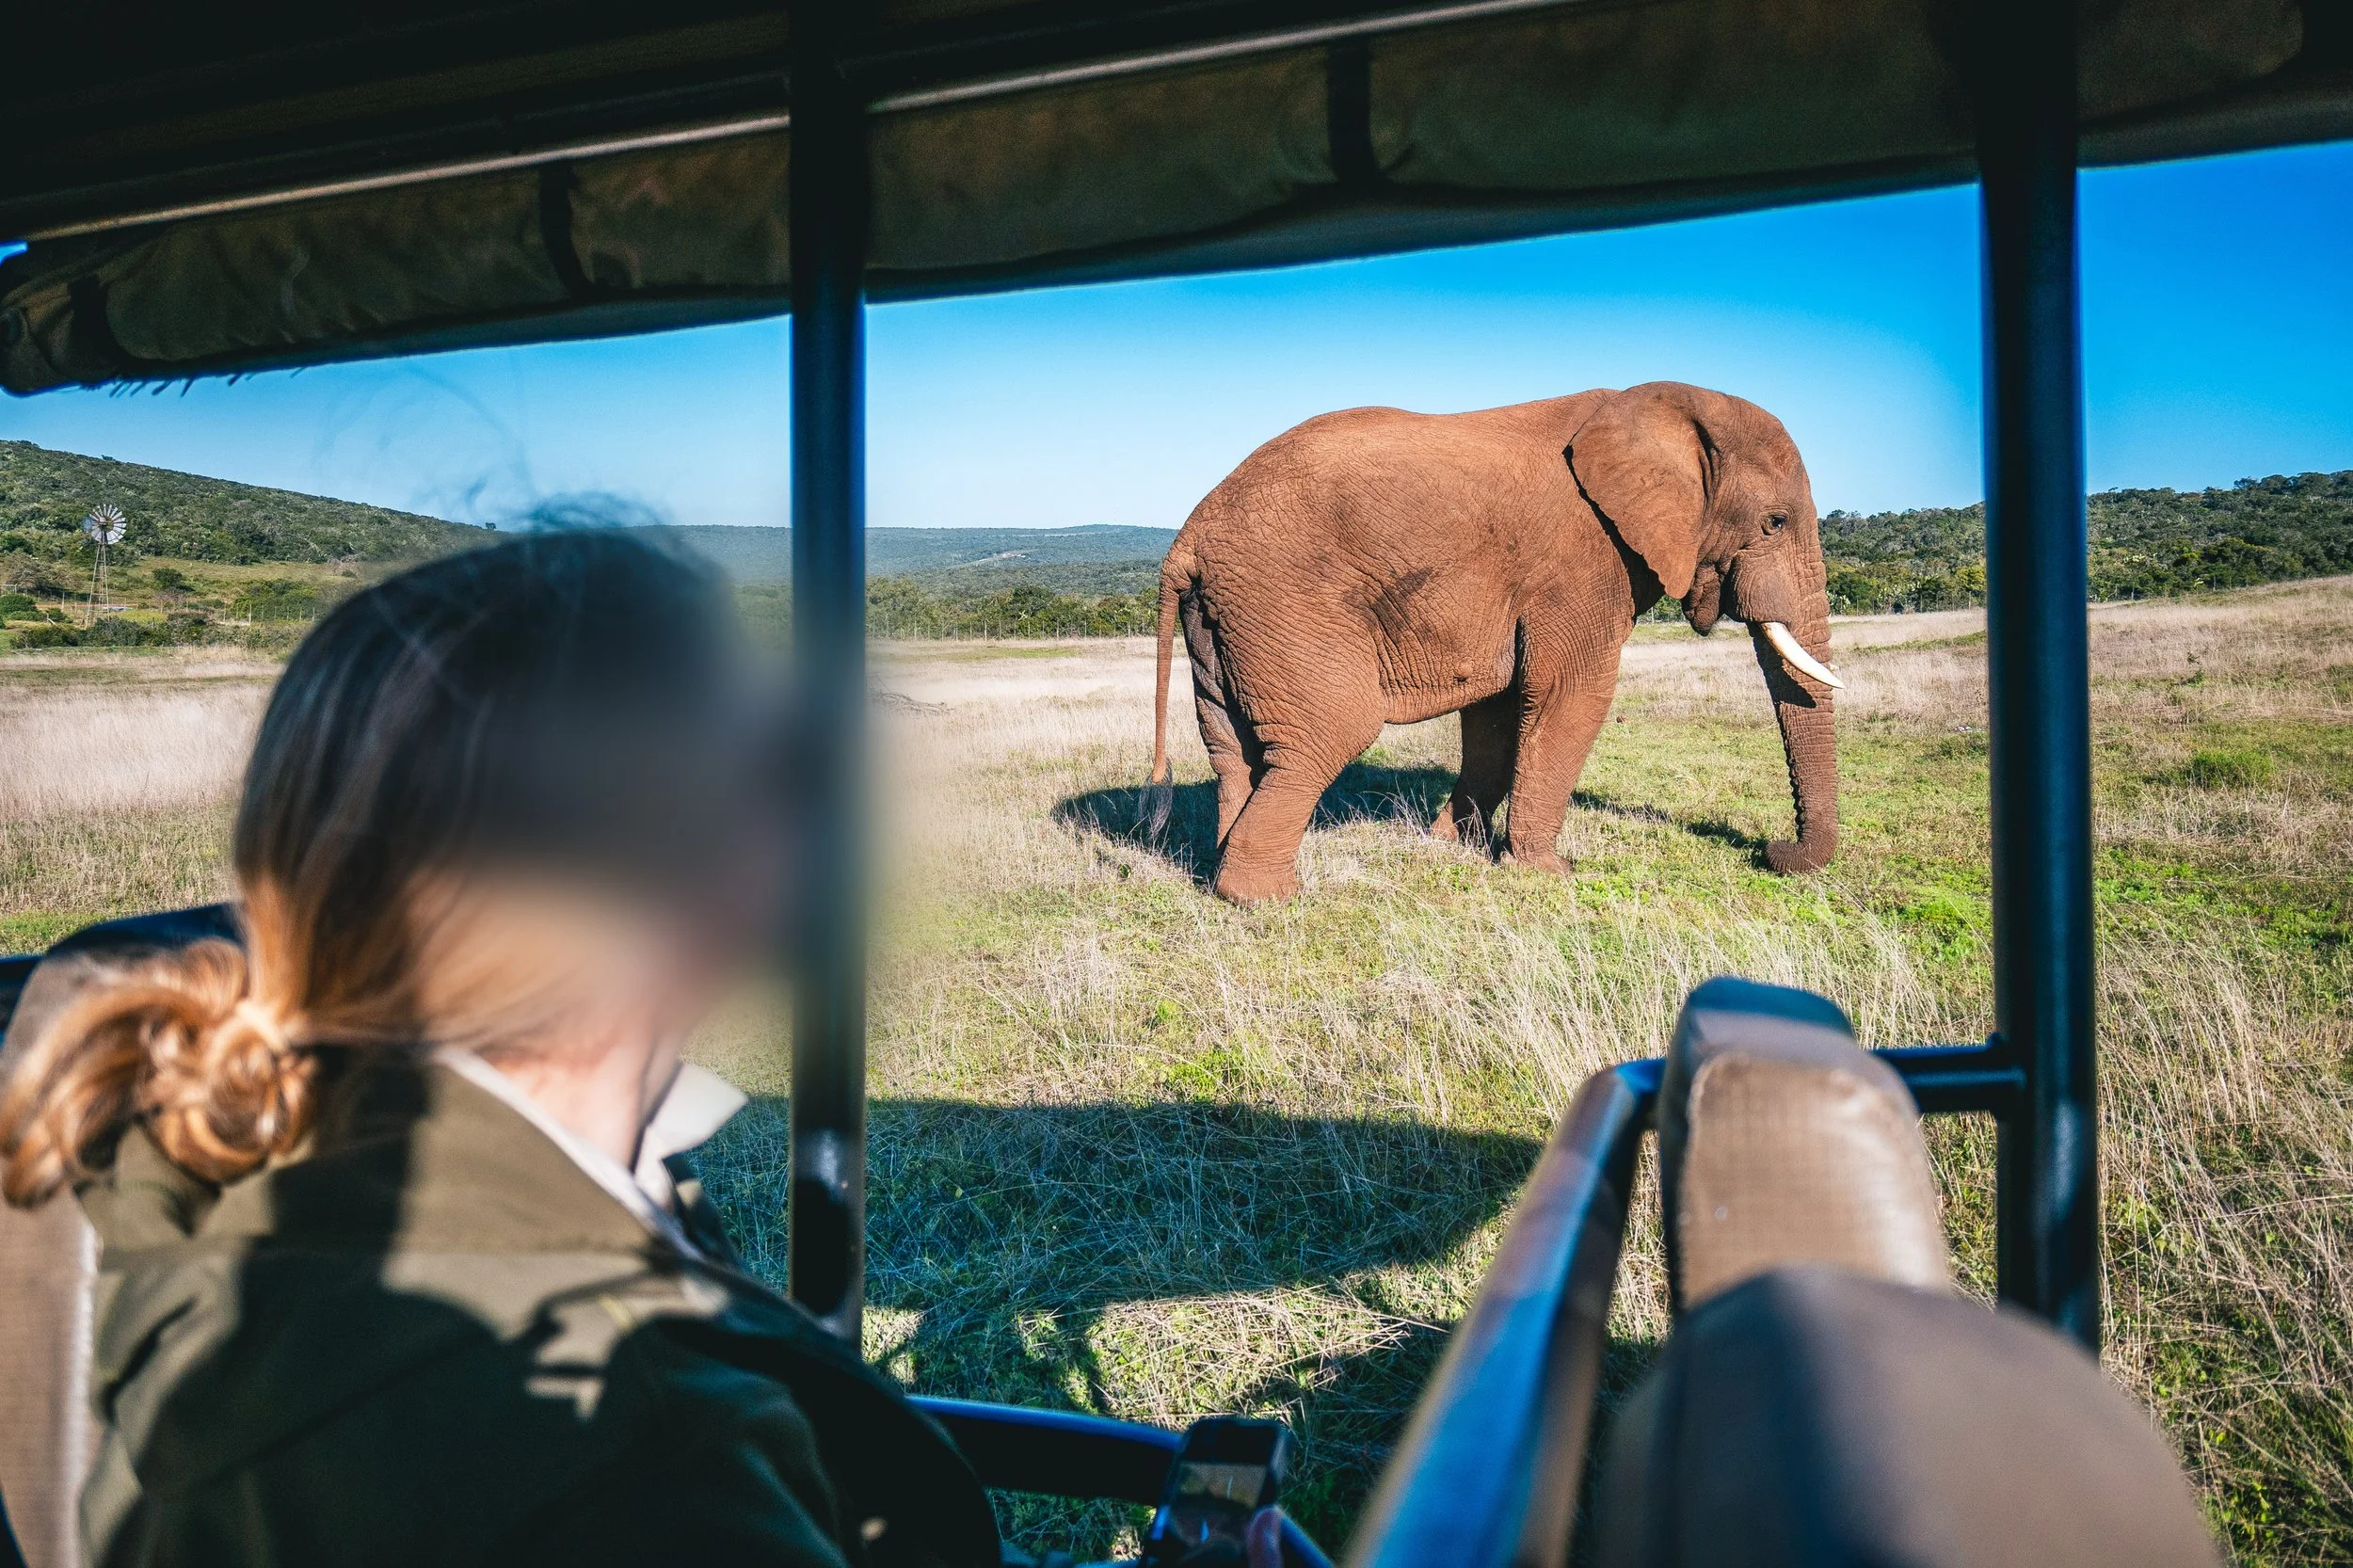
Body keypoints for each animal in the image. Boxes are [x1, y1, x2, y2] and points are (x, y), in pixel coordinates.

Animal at [1147, 381, 1842, 905]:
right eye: (1774, 522)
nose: (1773, 851)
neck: (1653, 405)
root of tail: (1188, 536)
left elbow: (1499, 709)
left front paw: (1451, 845)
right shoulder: (1581, 562)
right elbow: (1568, 696)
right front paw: (1547, 876)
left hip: (1225, 620)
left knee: (1233, 749)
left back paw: (1220, 872)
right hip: (1285, 601)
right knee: (1331, 730)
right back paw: (1267, 898)